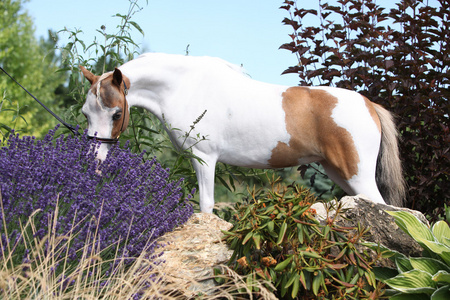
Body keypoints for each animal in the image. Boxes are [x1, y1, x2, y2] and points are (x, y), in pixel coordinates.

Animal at [79, 54, 406, 213]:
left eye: (116, 113)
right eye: (85, 113)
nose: (95, 156)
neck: (185, 85)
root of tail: (370, 105)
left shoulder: (204, 158)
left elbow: (206, 206)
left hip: (357, 175)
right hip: (340, 173)